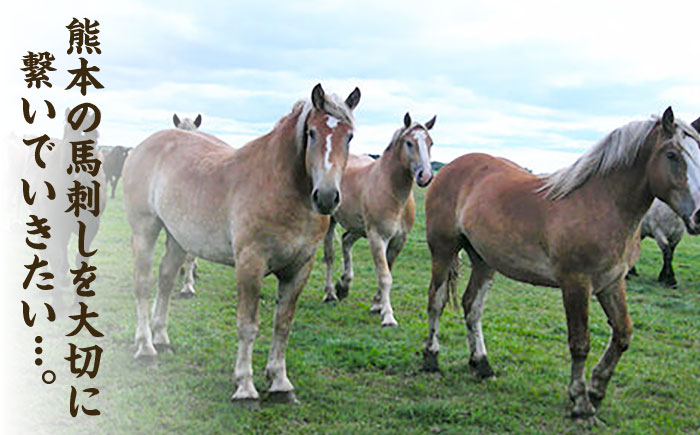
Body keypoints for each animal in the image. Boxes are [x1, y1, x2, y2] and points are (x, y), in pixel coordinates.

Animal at [122, 84, 360, 404]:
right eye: (311, 132)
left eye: (349, 136)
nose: (326, 196)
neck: (281, 187)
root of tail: (143, 146)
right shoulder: (250, 264)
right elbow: (248, 325)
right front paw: (245, 387)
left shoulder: (300, 268)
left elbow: (283, 325)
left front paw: (280, 383)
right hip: (145, 230)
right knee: (143, 284)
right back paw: (146, 348)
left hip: (178, 237)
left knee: (166, 278)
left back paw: (161, 338)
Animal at [321, 112, 436, 327]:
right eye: (409, 143)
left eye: (430, 142)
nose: (425, 176)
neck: (391, 190)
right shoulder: (377, 237)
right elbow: (385, 276)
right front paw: (388, 316)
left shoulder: (398, 241)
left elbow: (387, 269)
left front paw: (376, 305)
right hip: (332, 222)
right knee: (329, 255)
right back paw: (330, 293)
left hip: (358, 228)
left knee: (346, 241)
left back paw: (344, 285)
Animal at [421, 107, 700, 422]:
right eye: (672, 154)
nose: (699, 216)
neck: (601, 203)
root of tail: (447, 169)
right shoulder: (576, 284)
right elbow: (580, 343)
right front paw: (581, 402)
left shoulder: (611, 283)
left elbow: (622, 334)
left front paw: (596, 390)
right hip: (443, 250)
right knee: (436, 301)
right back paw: (431, 359)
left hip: (483, 260)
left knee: (472, 306)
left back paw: (482, 364)